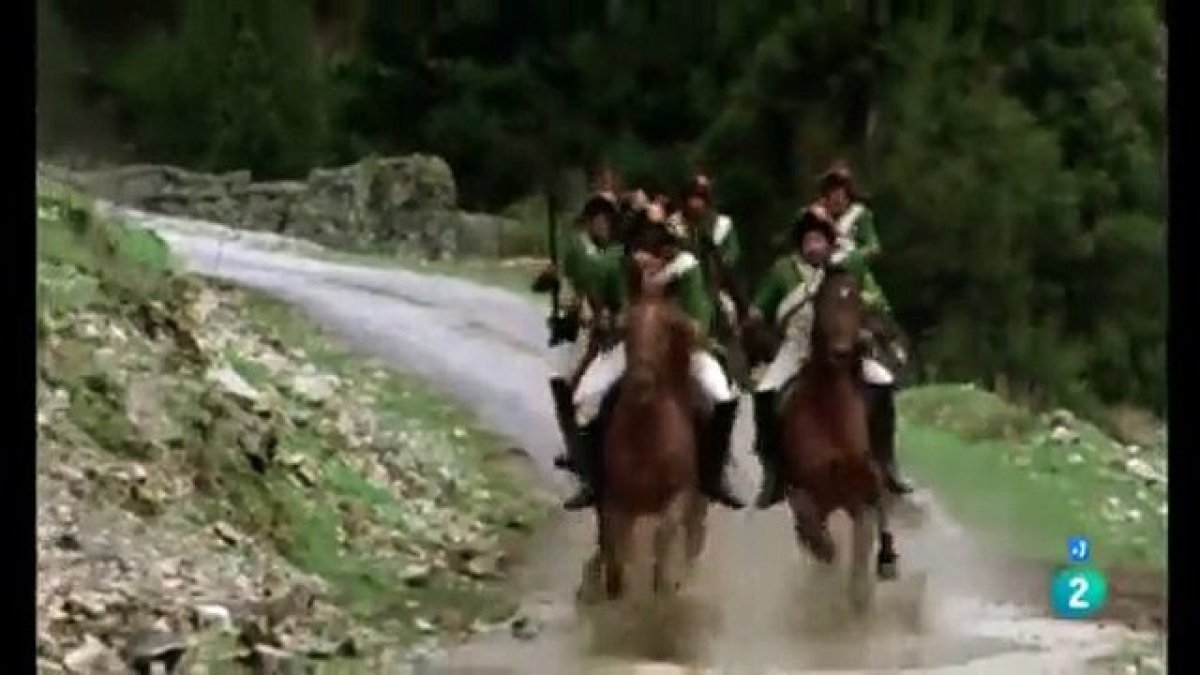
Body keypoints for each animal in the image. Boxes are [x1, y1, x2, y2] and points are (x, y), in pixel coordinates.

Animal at [580, 266, 710, 598]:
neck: (646, 439)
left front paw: (665, 581)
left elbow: (664, 535)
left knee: (692, 532)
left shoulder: (680, 495)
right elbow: (616, 553)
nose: (641, 382)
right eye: (628, 328)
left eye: (668, 328)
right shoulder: (616, 502)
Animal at [777, 265, 902, 612]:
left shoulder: (863, 489)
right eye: (823, 303)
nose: (842, 352)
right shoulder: (802, 490)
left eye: (857, 302)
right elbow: (813, 531)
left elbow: (862, 542)